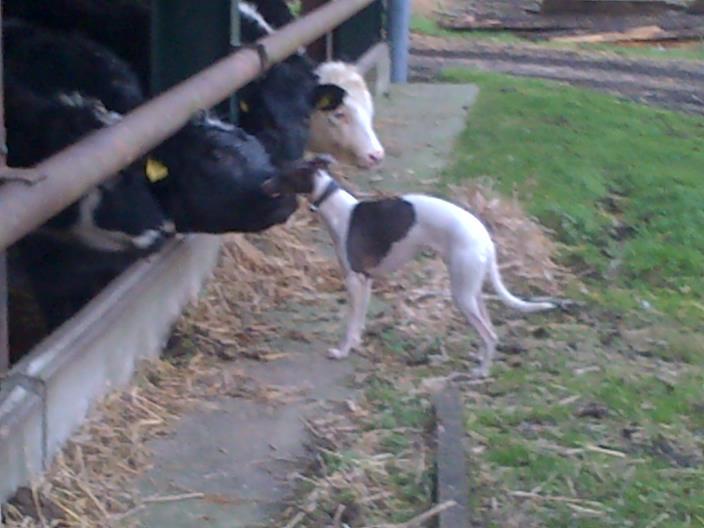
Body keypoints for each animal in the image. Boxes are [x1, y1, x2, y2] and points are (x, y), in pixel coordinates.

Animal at [266, 155, 560, 378]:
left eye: (283, 174)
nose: (262, 184)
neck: (339, 209)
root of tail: (485, 237)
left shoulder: (353, 279)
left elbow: (350, 324)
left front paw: (342, 351)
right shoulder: (366, 280)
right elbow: (359, 319)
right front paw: (357, 344)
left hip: (462, 294)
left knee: (489, 335)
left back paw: (481, 372)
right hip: (472, 290)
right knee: (490, 330)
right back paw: (480, 360)